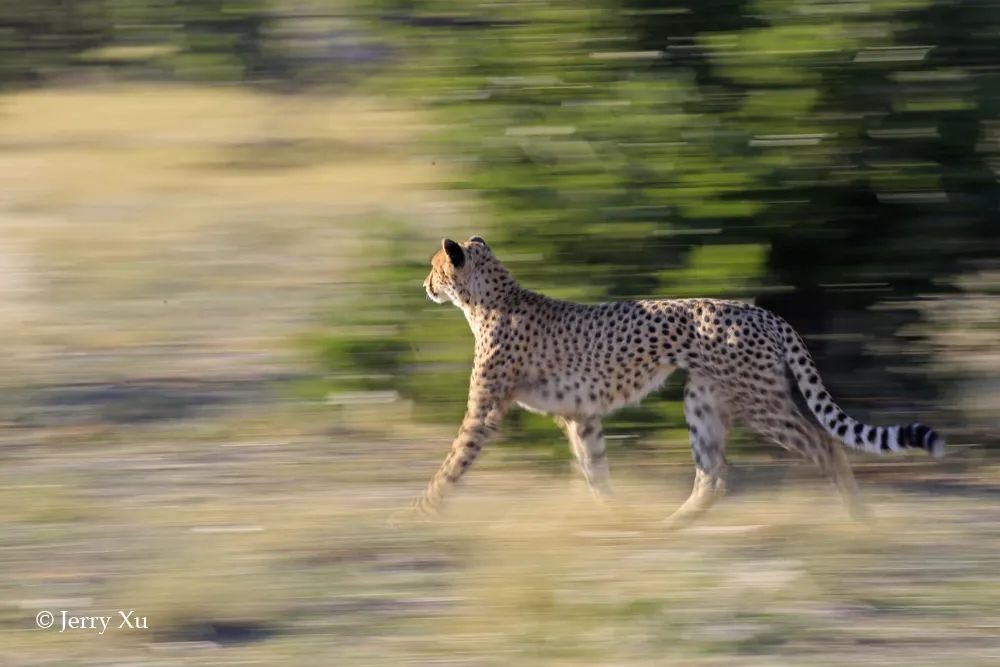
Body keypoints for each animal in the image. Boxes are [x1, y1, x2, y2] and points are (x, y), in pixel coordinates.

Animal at [404, 237, 936, 524]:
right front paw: (616, 520)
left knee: (824, 444)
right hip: (703, 399)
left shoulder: (486, 411)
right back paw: (671, 526)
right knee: (713, 476)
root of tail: (759, 310)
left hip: (760, 402)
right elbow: (596, 473)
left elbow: (451, 465)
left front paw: (415, 516)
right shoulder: (581, 416)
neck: (490, 299)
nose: (424, 284)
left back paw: (859, 520)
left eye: (433, 266)